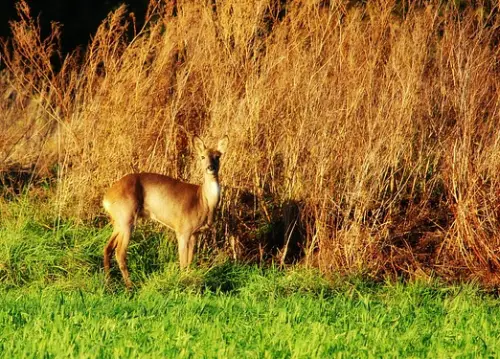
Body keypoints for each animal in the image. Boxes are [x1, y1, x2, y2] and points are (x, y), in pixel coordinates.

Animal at [102, 135, 229, 290]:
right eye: (202, 156)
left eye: (218, 156)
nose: (210, 168)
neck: (203, 201)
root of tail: (106, 198)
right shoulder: (183, 230)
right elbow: (183, 262)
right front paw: (183, 284)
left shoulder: (195, 233)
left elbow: (190, 261)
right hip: (127, 217)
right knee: (119, 252)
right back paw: (130, 286)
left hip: (118, 221)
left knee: (107, 248)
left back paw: (109, 282)